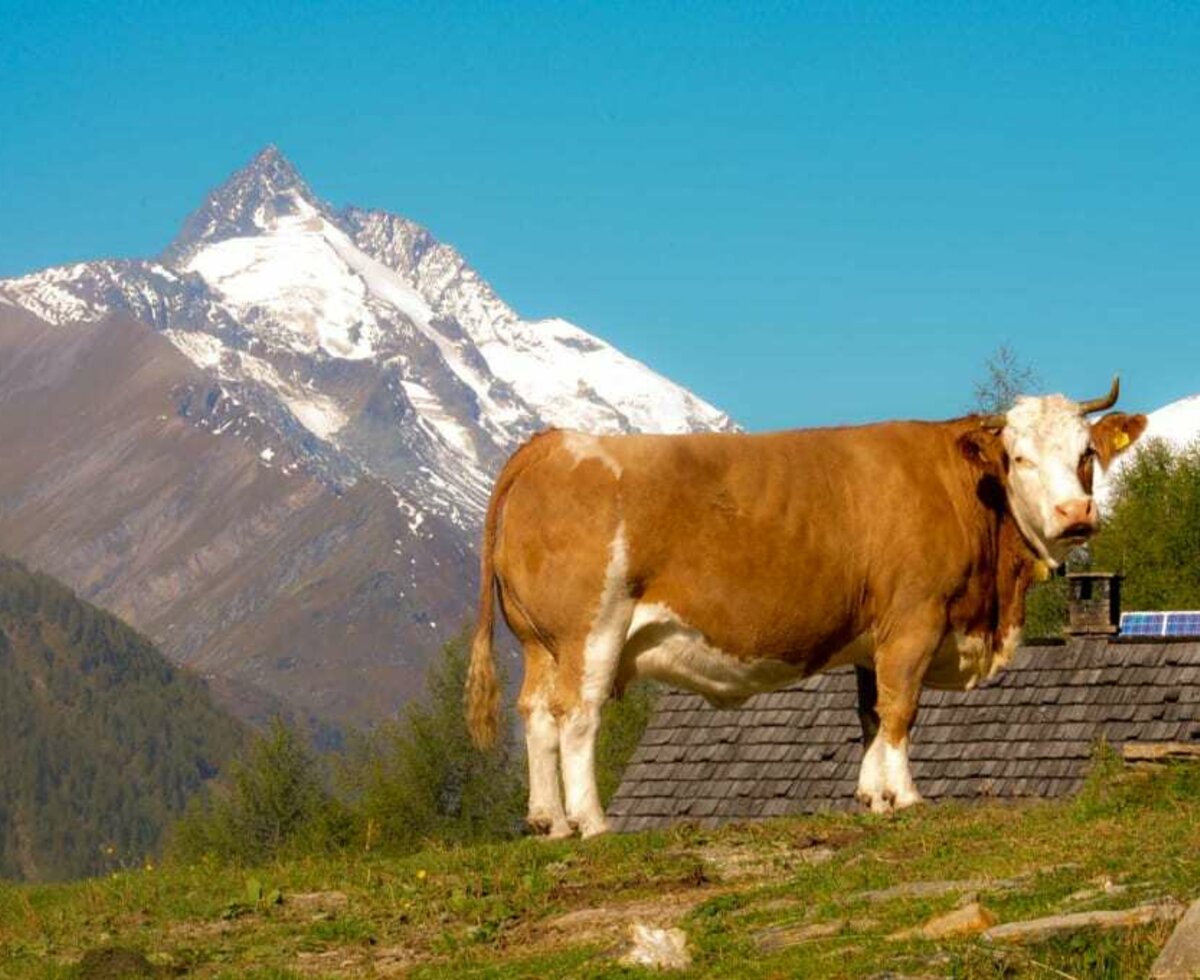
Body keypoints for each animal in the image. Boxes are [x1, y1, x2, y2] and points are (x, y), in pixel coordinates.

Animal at [463, 379, 1147, 839]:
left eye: (1086, 454)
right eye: (1019, 458)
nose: (1075, 514)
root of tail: (551, 443)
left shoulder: (874, 637)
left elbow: (872, 714)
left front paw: (873, 796)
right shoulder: (914, 620)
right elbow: (902, 709)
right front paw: (907, 797)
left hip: (539, 643)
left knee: (536, 715)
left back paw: (548, 820)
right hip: (591, 632)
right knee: (577, 719)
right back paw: (592, 821)